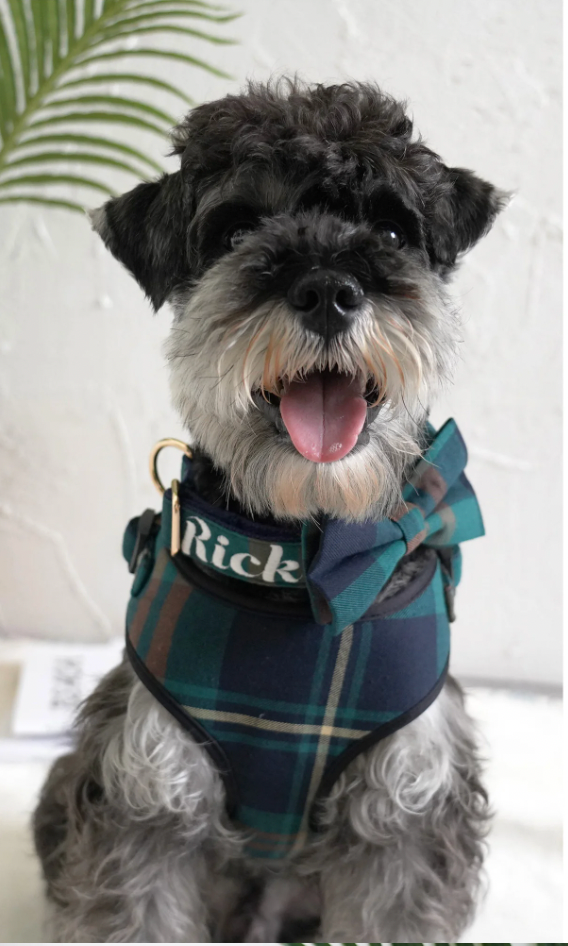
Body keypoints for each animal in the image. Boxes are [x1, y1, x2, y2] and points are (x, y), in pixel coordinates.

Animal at [33, 79, 506, 936]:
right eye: (235, 228)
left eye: (392, 227)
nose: (327, 290)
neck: (303, 565)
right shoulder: (145, 797)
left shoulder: (408, 812)